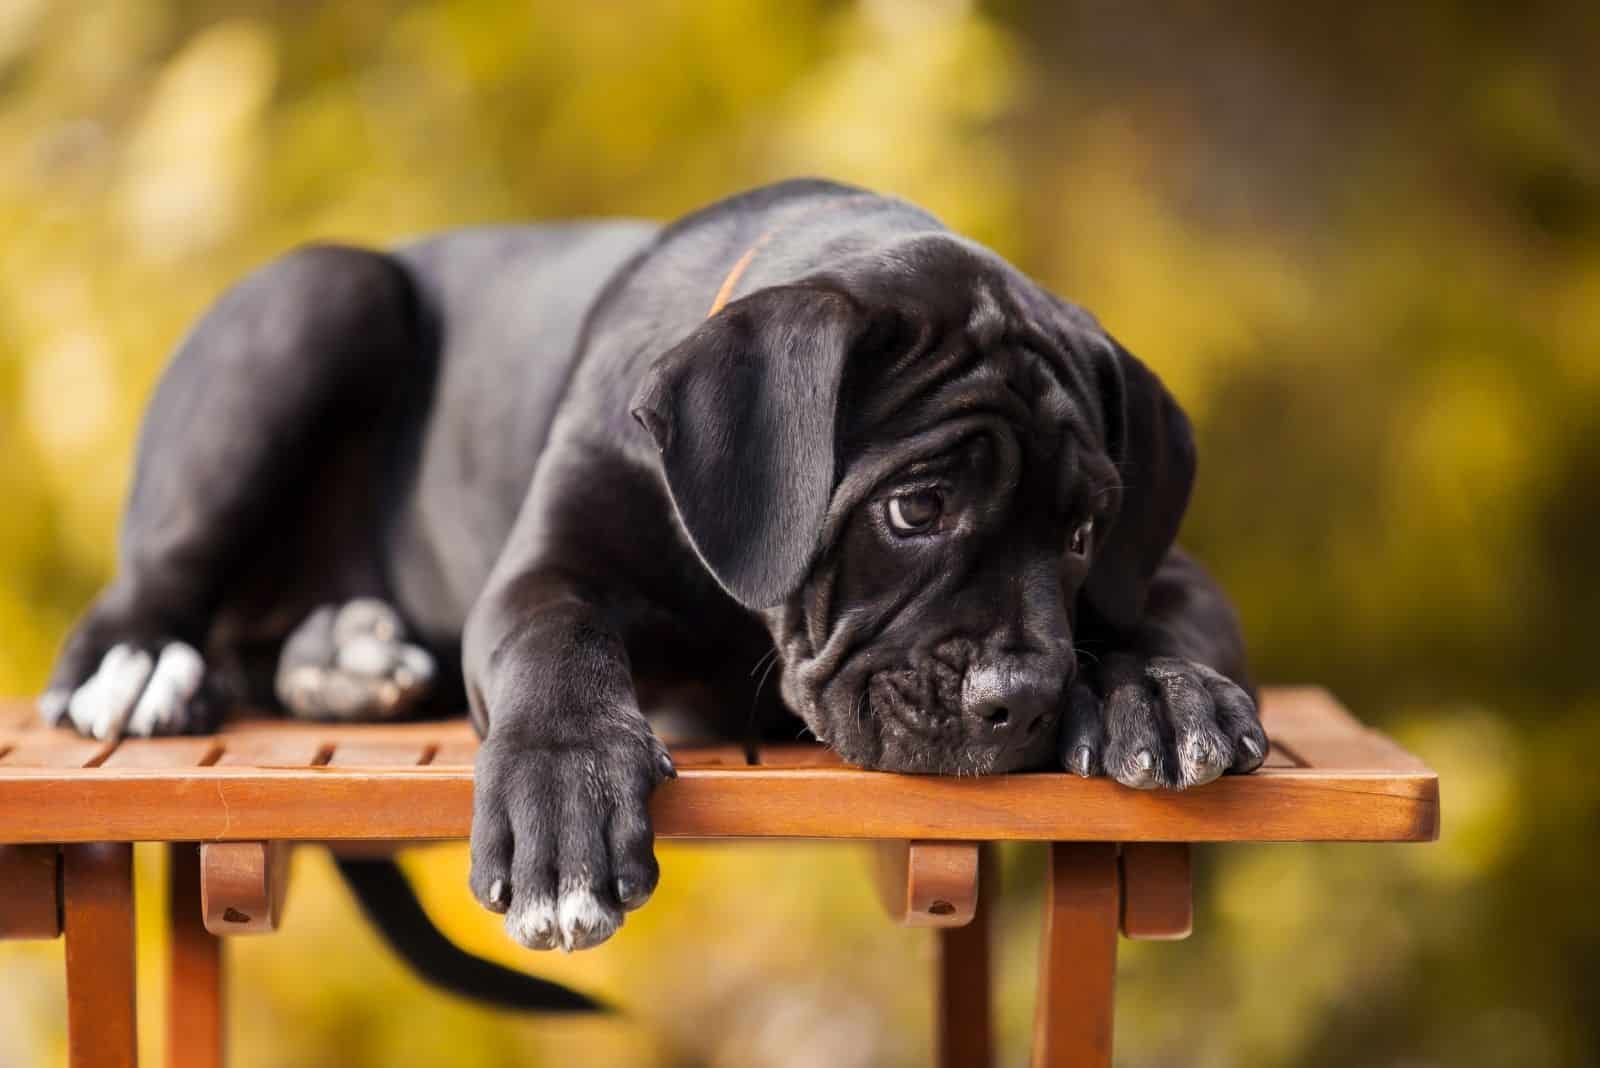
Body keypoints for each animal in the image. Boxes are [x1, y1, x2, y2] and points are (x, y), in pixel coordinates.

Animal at [43, 177, 1260, 984]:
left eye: (1085, 530)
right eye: (915, 510)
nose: (1025, 700)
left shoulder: (1158, 565)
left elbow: (1178, 613)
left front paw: (1157, 694)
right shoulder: (544, 574)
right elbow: (557, 651)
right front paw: (564, 805)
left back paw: (344, 659)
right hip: (319, 298)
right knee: (150, 594)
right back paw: (146, 669)